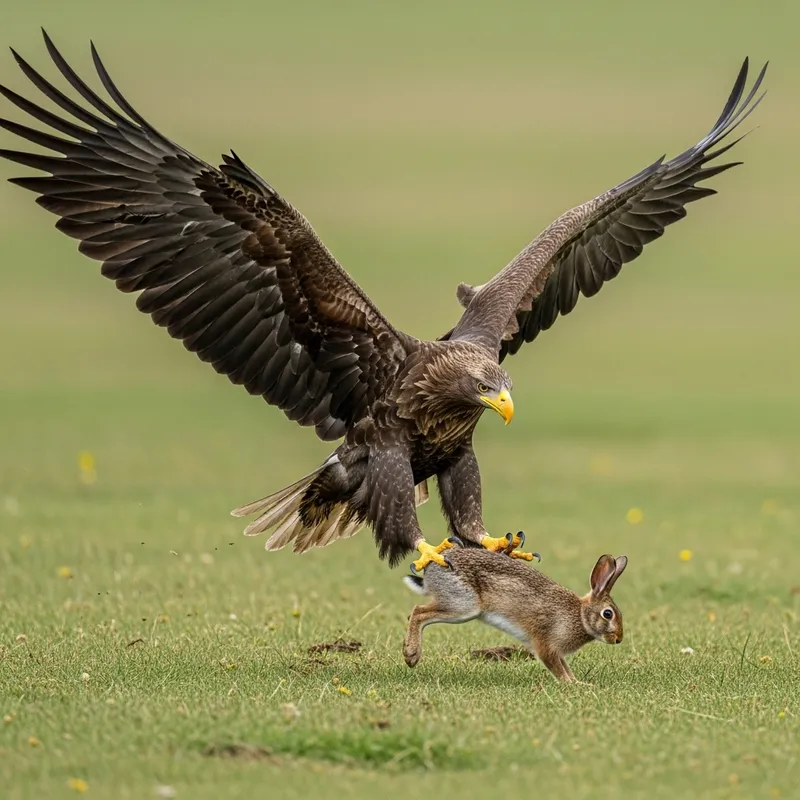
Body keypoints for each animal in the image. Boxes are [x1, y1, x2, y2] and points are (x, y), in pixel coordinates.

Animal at [402, 536, 627, 683]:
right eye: (608, 614)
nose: (618, 639)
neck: (580, 616)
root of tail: (432, 568)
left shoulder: (557, 651)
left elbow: (565, 666)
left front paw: (578, 682)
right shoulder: (545, 645)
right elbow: (557, 668)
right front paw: (573, 684)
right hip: (463, 605)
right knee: (418, 611)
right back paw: (411, 654)